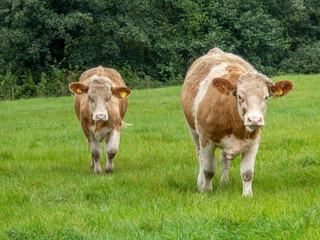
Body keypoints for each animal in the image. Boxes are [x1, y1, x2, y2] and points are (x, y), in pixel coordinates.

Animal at [181, 47, 294, 196]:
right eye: (240, 96)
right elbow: (208, 169)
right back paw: (200, 183)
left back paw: (224, 182)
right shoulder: (206, 139)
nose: (254, 119)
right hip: (193, 131)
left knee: (224, 159)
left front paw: (247, 195)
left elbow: (247, 173)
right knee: (200, 157)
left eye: (266, 97)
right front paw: (206, 190)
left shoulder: (254, 141)